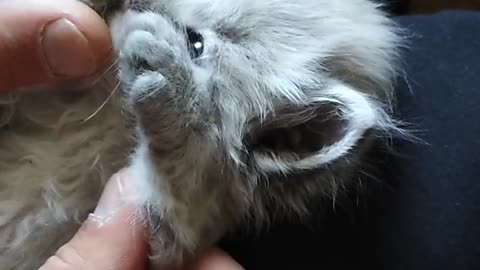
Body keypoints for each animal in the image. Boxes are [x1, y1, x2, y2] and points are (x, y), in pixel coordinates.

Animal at [0, 0, 404, 268]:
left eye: (195, 43)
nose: (135, 2)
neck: (106, 111)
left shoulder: (169, 239)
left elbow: (185, 178)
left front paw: (176, 88)